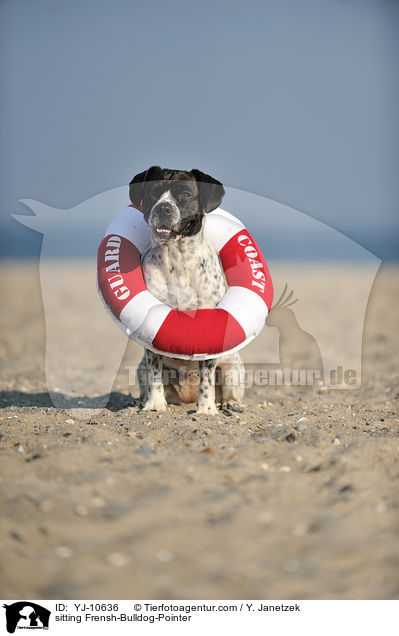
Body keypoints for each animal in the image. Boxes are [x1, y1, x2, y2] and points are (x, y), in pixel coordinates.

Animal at [130, 166, 245, 414]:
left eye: (184, 194)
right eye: (153, 191)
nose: (163, 208)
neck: (177, 259)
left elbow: (207, 378)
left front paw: (206, 409)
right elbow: (155, 373)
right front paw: (155, 405)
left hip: (232, 366)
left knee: (229, 388)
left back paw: (229, 404)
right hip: (139, 368)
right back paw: (140, 401)